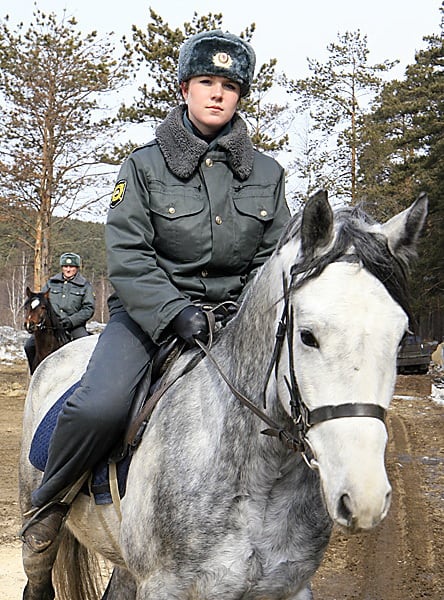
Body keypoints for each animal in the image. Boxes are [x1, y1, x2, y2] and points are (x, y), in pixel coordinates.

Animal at [19, 190, 427, 600]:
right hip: (38, 536)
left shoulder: (291, 587)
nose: (365, 497)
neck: (260, 476)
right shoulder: (165, 586)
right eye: (308, 336)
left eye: (401, 338)